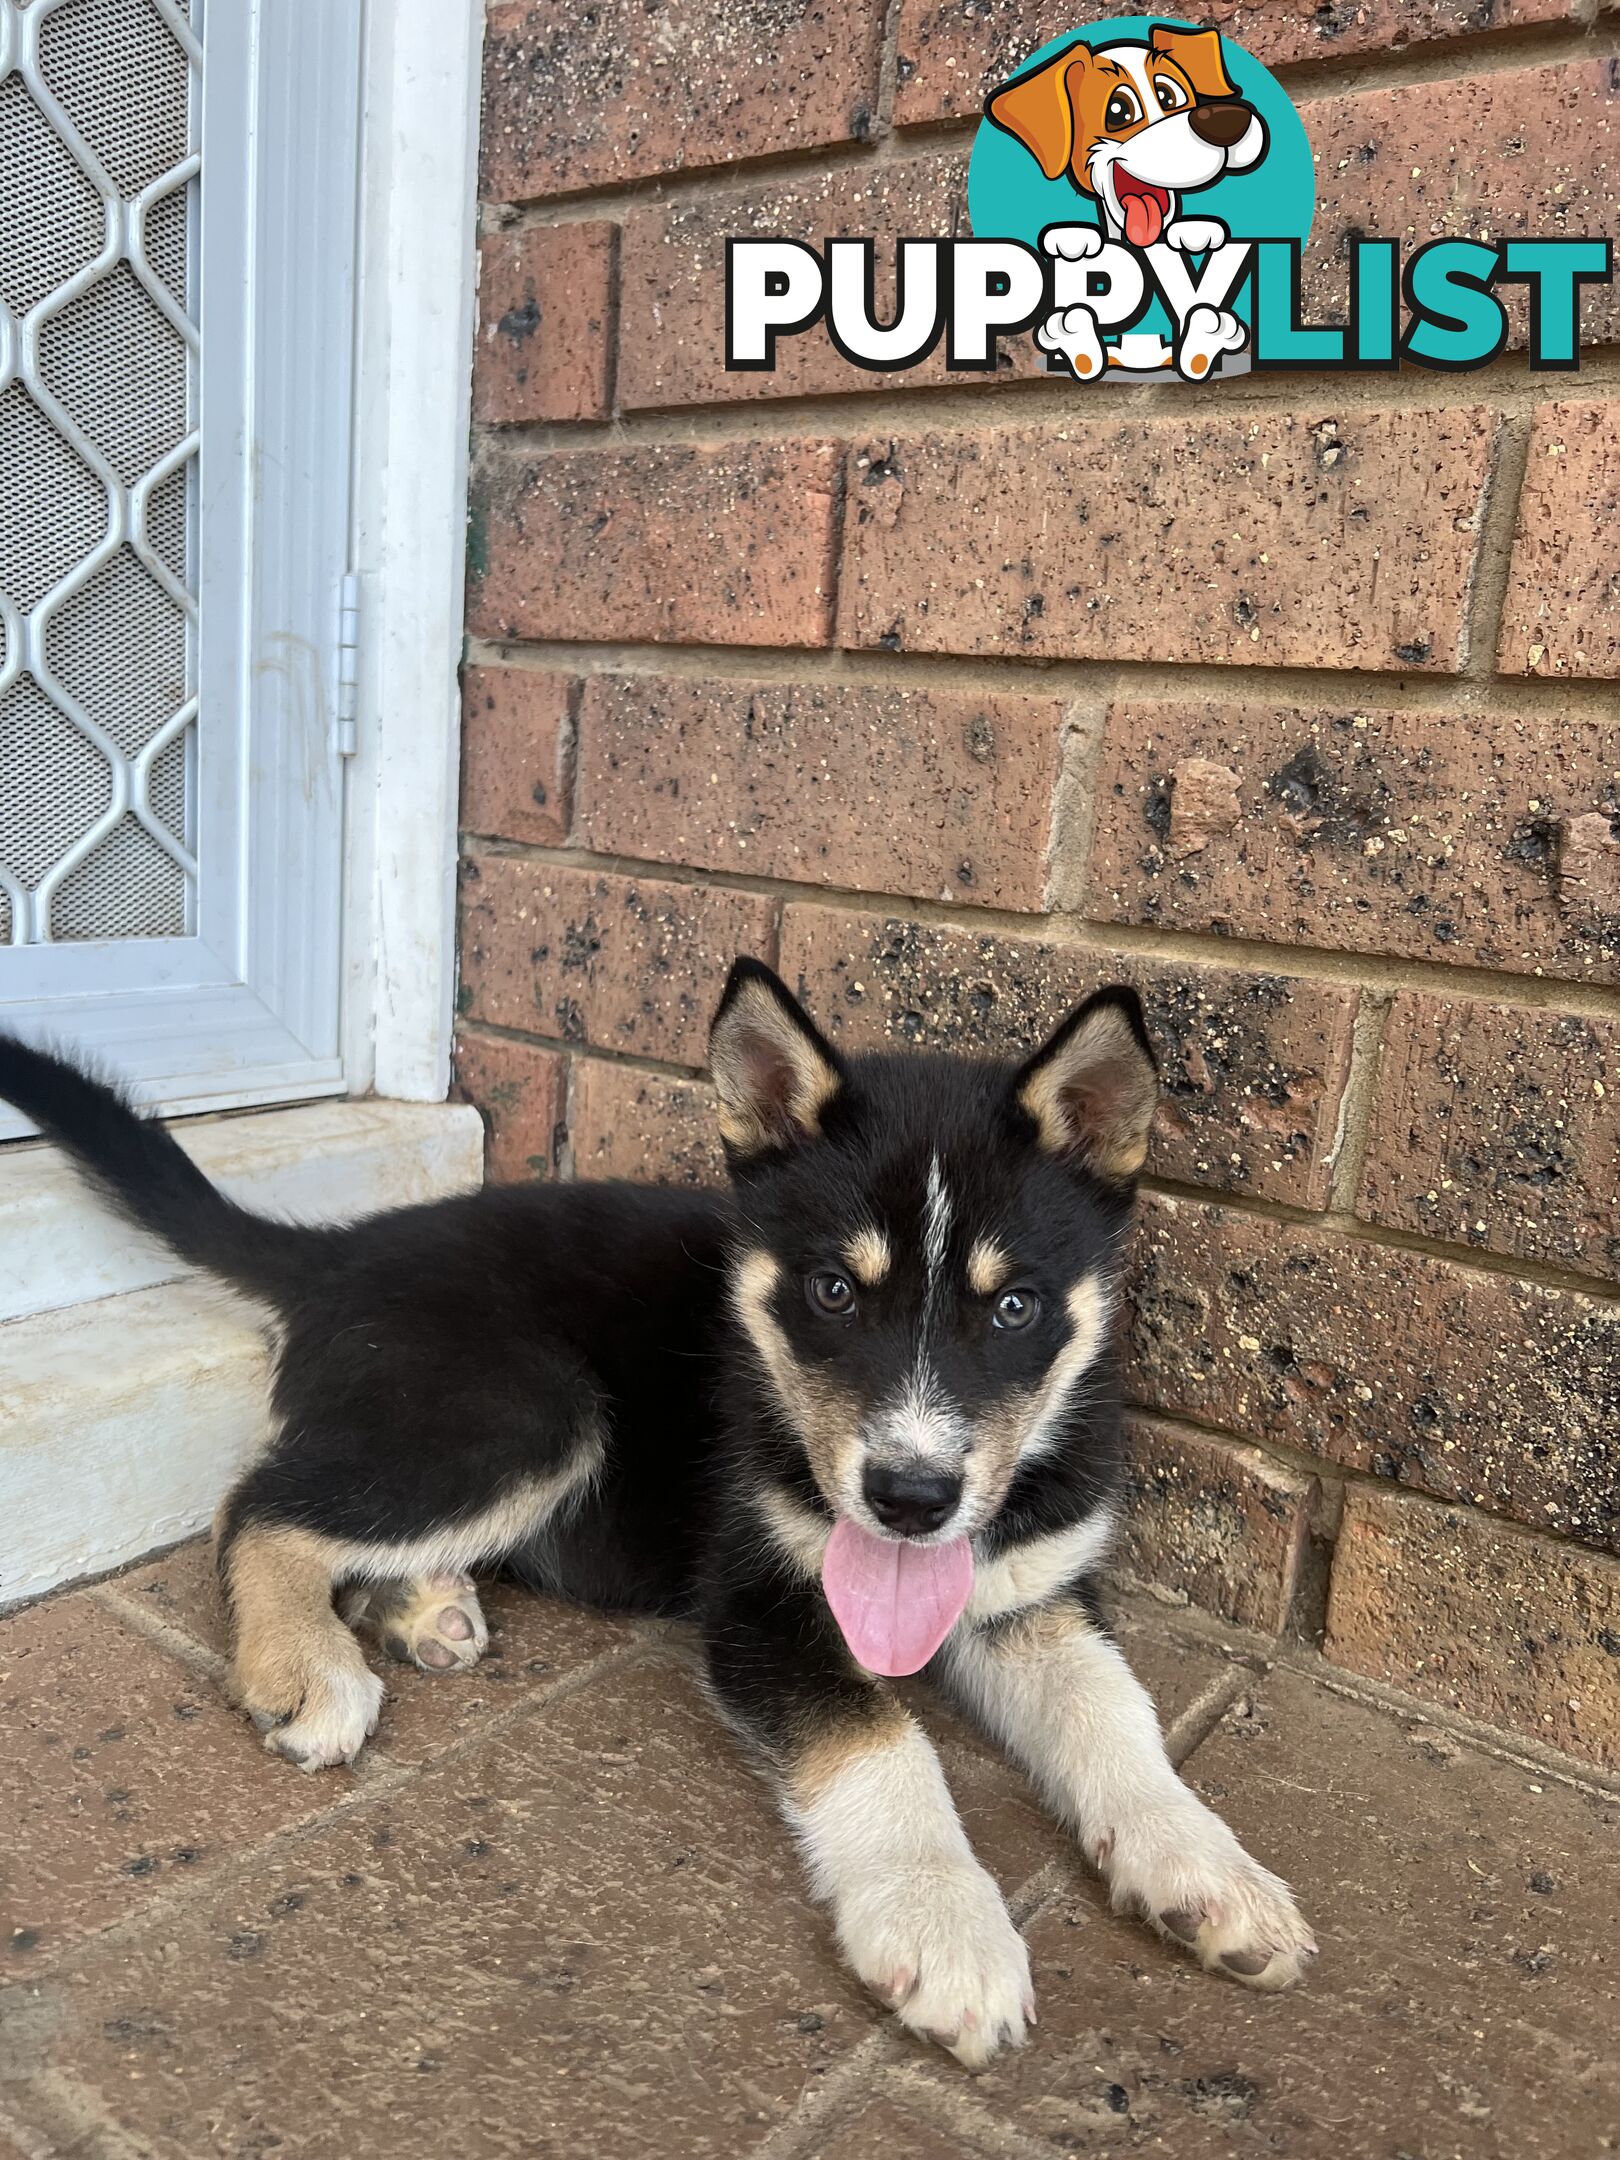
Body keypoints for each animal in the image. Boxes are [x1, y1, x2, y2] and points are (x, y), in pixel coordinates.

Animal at [0, 972, 1321, 2064]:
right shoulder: (763, 1602)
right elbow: (884, 1741)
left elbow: (1117, 1716)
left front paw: (1205, 1866)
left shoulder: (1034, 1596)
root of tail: (343, 1249)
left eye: (1015, 1310)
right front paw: (944, 1924)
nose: (910, 1499)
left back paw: (423, 1607)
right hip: (528, 1409)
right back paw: (305, 1664)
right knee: (262, 1505)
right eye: (831, 1291)